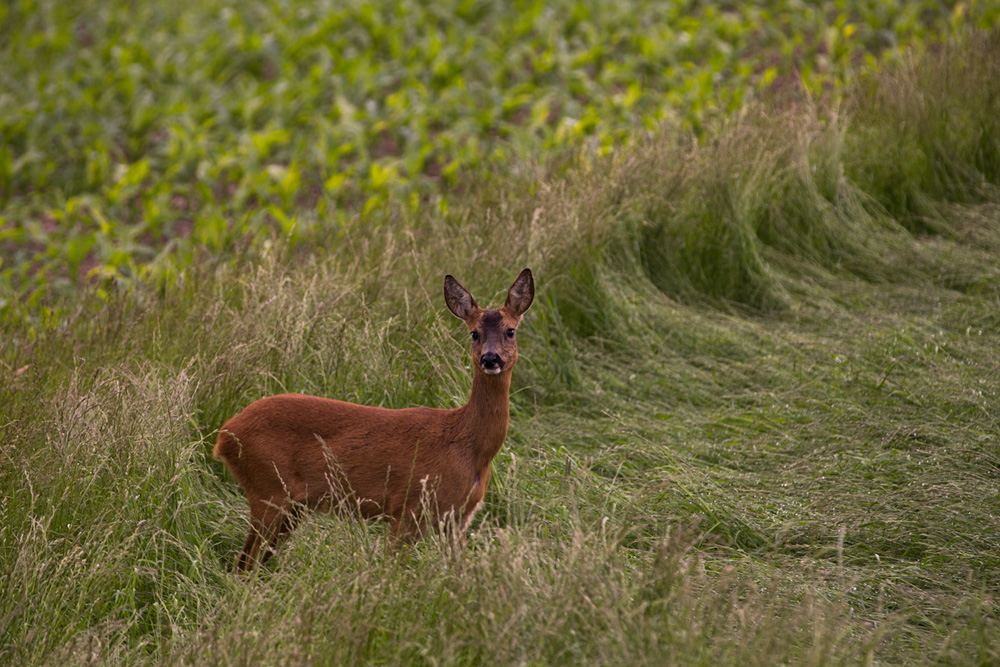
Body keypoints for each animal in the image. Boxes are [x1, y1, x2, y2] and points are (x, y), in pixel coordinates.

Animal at [215, 268, 536, 572]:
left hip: (291, 506)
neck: (467, 446)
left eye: (510, 331)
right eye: (474, 333)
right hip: (269, 489)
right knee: (245, 564)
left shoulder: (458, 517)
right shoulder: (408, 507)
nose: (490, 359)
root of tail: (224, 436)